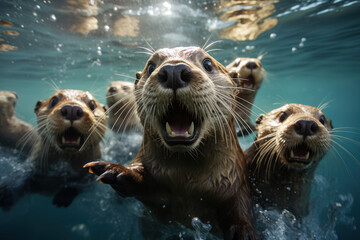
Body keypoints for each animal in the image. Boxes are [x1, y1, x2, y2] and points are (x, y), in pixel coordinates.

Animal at [84, 46, 258, 239]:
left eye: (207, 64)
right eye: (151, 66)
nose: (173, 70)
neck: (187, 182)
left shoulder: (236, 183)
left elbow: (239, 211)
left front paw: (244, 232)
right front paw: (116, 170)